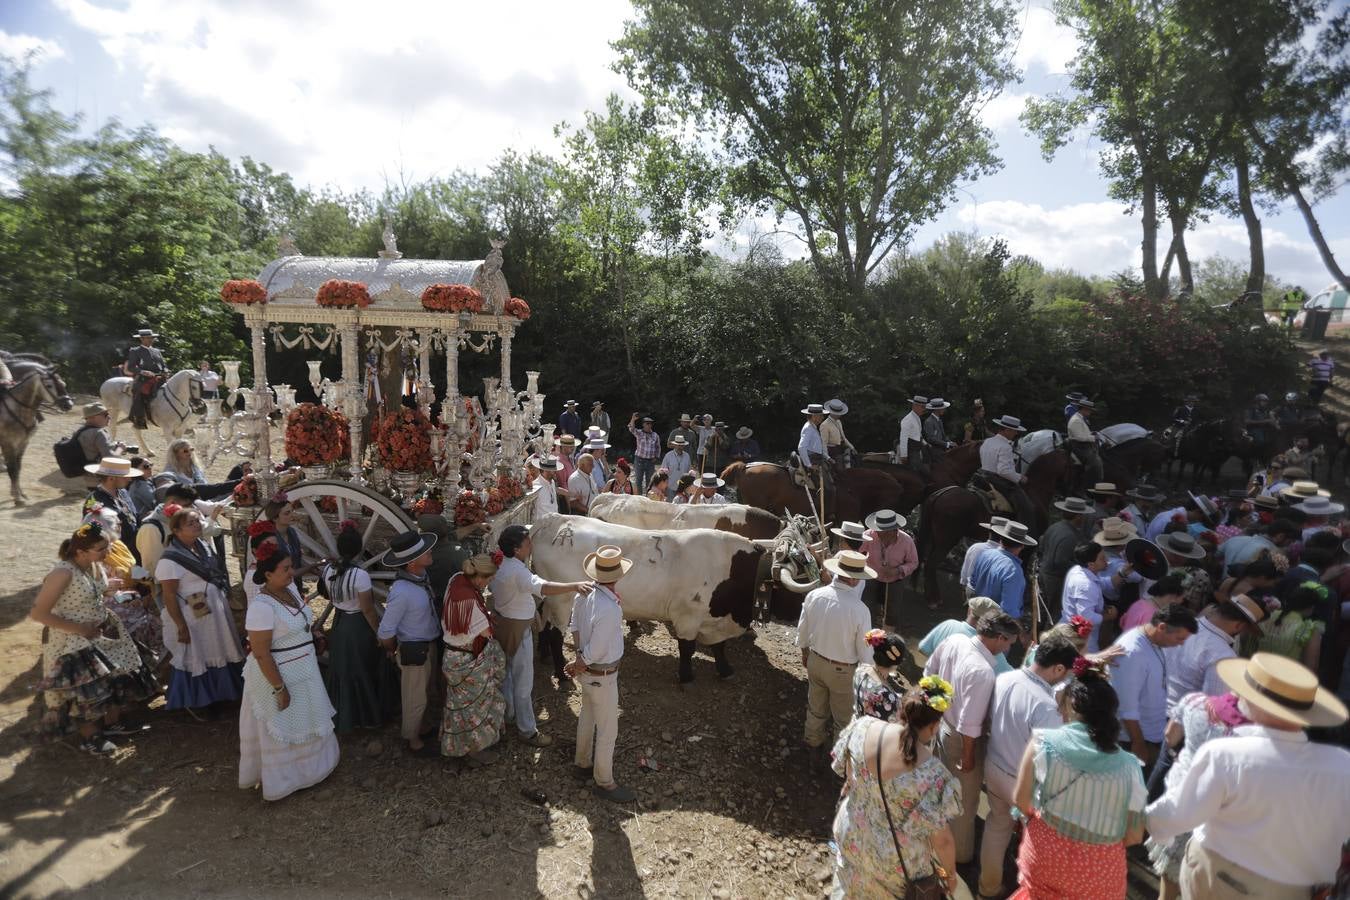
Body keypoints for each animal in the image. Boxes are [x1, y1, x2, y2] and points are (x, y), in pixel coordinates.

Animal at [912, 450, 1069, 612]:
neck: (1036, 493)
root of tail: (940, 494)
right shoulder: (1028, 548)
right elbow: (1022, 568)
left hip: (932, 535)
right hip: (946, 540)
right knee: (931, 563)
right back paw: (934, 599)